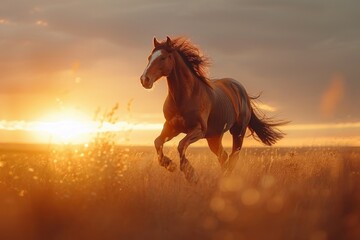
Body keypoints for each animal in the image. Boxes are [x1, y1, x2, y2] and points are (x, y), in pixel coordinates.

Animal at [141, 35, 286, 183]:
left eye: (163, 58)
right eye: (149, 57)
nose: (144, 79)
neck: (185, 96)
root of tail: (242, 90)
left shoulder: (198, 130)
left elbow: (181, 145)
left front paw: (190, 174)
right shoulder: (172, 127)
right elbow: (157, 142)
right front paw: (169, 165)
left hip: (238, 132)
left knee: (233, 157)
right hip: (214, 137)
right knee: (224, 157)